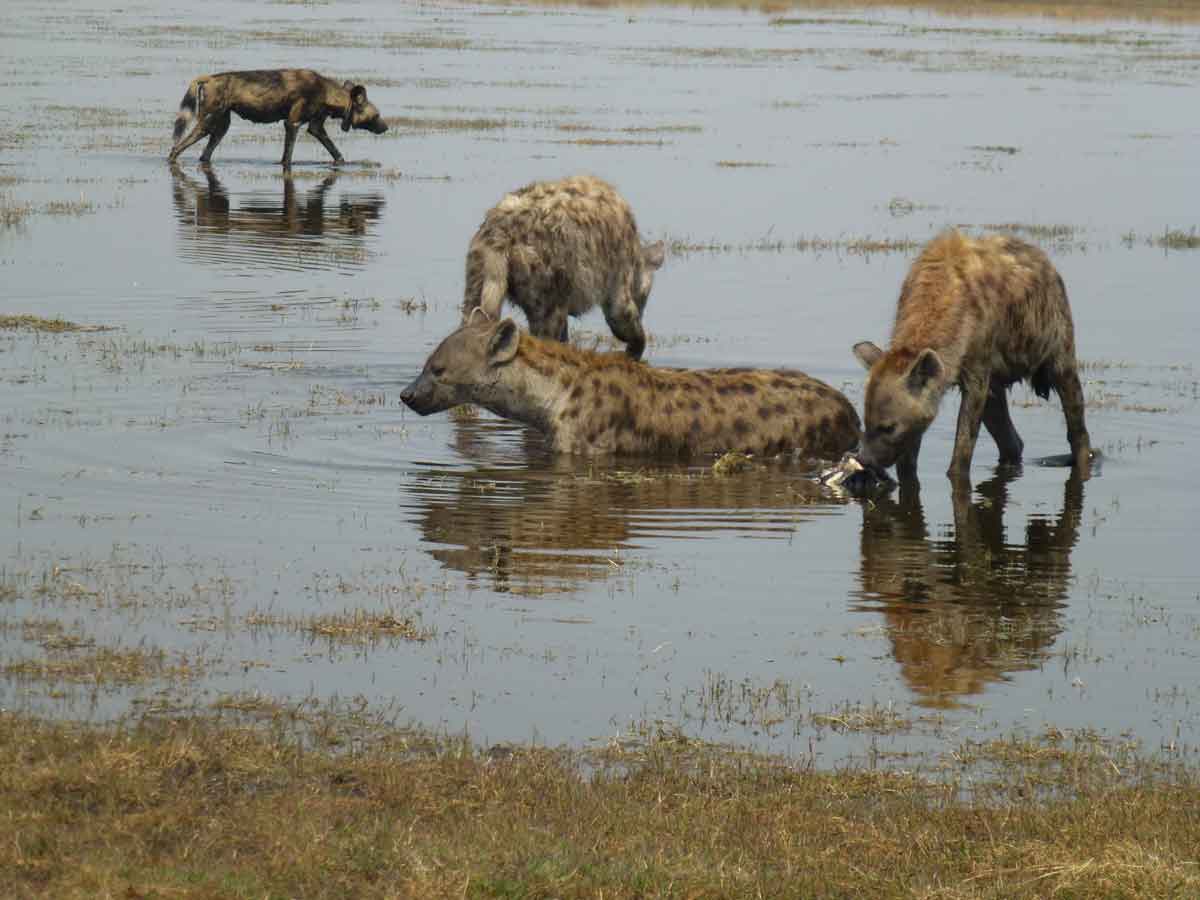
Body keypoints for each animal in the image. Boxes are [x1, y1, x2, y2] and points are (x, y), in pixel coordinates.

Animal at [165, 68, 384, 168]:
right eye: (377, 115)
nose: (386, 127)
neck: (327, 93)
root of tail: (209, 78)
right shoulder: (292, 123)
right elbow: (287, 157)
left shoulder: (315, 127)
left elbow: (335, 152)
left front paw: (342, 163)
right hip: (206, 123)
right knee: (176, 148)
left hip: (220, 128)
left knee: (204, 154)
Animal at [403, 316, 864, 458]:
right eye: (425, 365)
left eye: (438, 369)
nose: (406, 395)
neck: (551, 394)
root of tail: (849, 409)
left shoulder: (584, 447)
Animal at [460, 176, 667, 360]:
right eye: (646, 297)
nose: (642, 311)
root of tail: (500, 238)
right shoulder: (618, 276)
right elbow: (623, 318)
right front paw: (634, 353)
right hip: (546, 288)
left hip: (477, 273)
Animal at [849, 232, 1094, 487]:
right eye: (865, 422)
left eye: (888, 428)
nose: (864, 460)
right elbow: (909, 457)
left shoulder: (977, 369)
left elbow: (963, 447)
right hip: (996, 383)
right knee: (1009, 438)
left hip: (1059, 344)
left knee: (1077, 424)